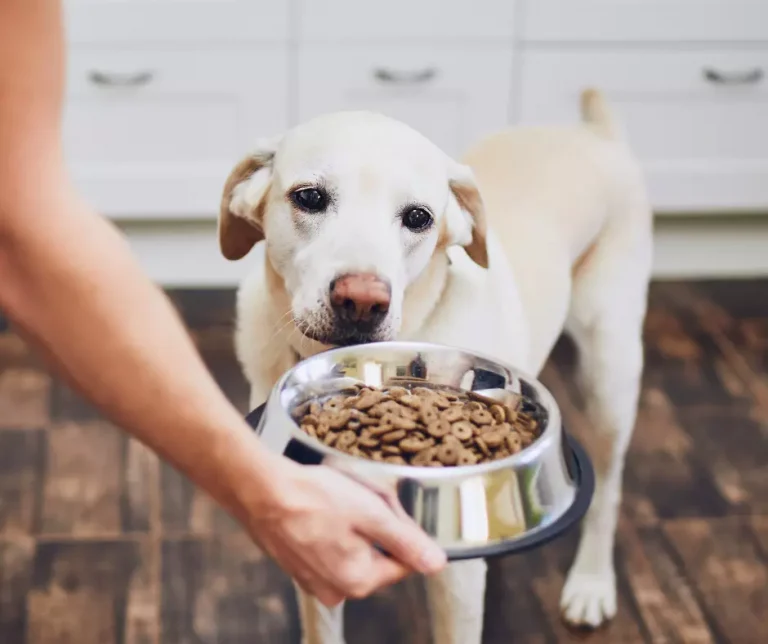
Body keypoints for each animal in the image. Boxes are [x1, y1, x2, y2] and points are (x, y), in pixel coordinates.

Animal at [219, 89, 652, 644]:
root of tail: (595, 134)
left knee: (610, 489)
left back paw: (591, 584)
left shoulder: (456, 581)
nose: (362, 301)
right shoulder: (317, 544)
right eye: (309, 197)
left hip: (610, 371)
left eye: (418, 217)